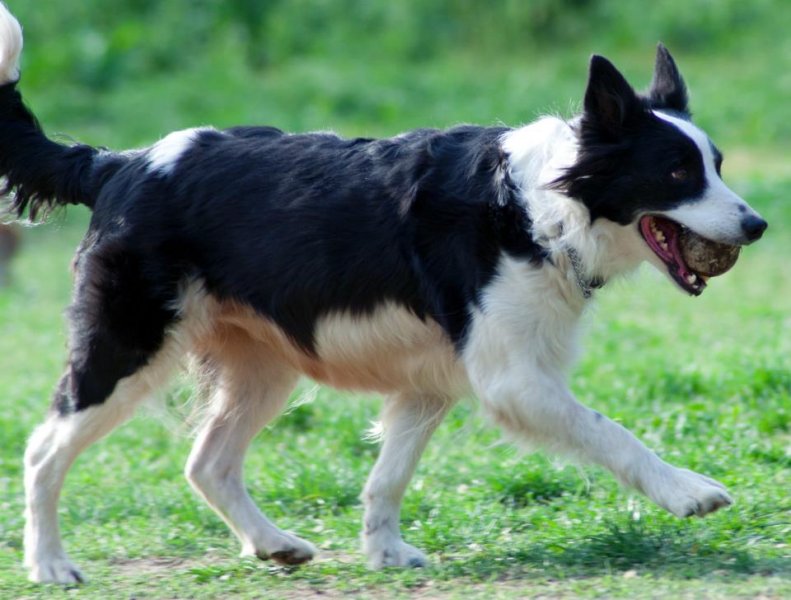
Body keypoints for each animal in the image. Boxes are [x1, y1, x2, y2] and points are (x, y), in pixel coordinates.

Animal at [1, 2, 768, 584]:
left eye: (717, 163)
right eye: (677, 172)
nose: (757, 225)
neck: (534, 207)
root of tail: (118, 163)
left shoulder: (429, 381)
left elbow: (388, 476)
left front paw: (385, 551)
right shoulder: (513, 379)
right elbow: (611, 432)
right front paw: (687, 491)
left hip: (261, 365)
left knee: (208, 462)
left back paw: (273, 544)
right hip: (126, 345)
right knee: (43, 451)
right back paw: (49, 565)